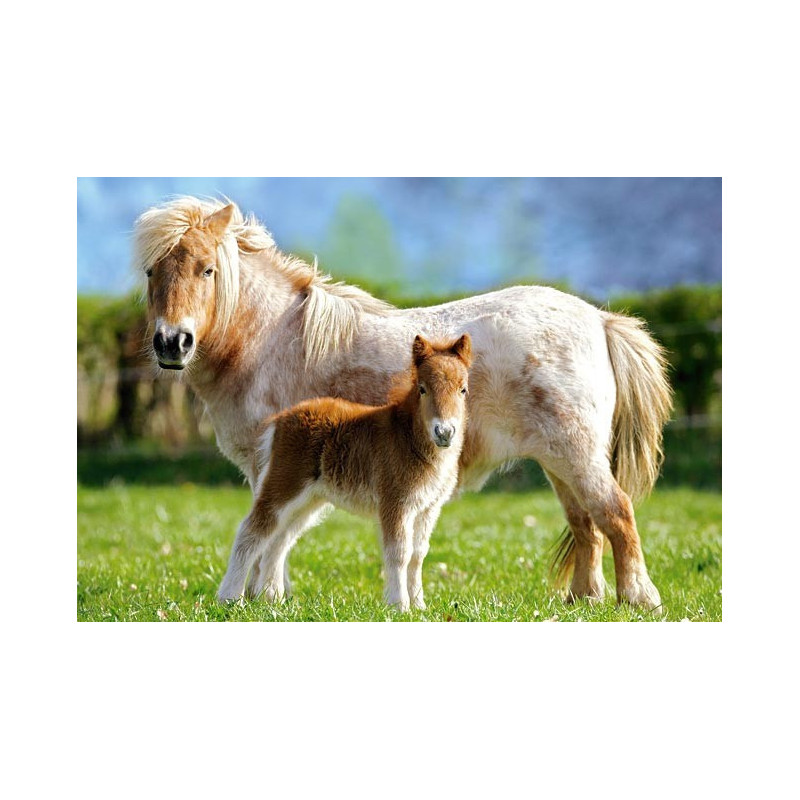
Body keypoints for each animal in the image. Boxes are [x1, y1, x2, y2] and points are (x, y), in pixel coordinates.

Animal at [217, 334, 472, 611]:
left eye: (463, 389)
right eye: (422, 389)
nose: (444, 432)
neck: (408, 437)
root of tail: (280, 420)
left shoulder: (428, 507)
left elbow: (418, 554)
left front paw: (419, 606)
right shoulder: (395, 501)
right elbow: (399, 553)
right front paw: (399, 606)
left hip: (310, 500)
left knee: (280, 539)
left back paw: (273, 599)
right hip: (284, 484)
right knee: (252, 531)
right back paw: (230, 598)